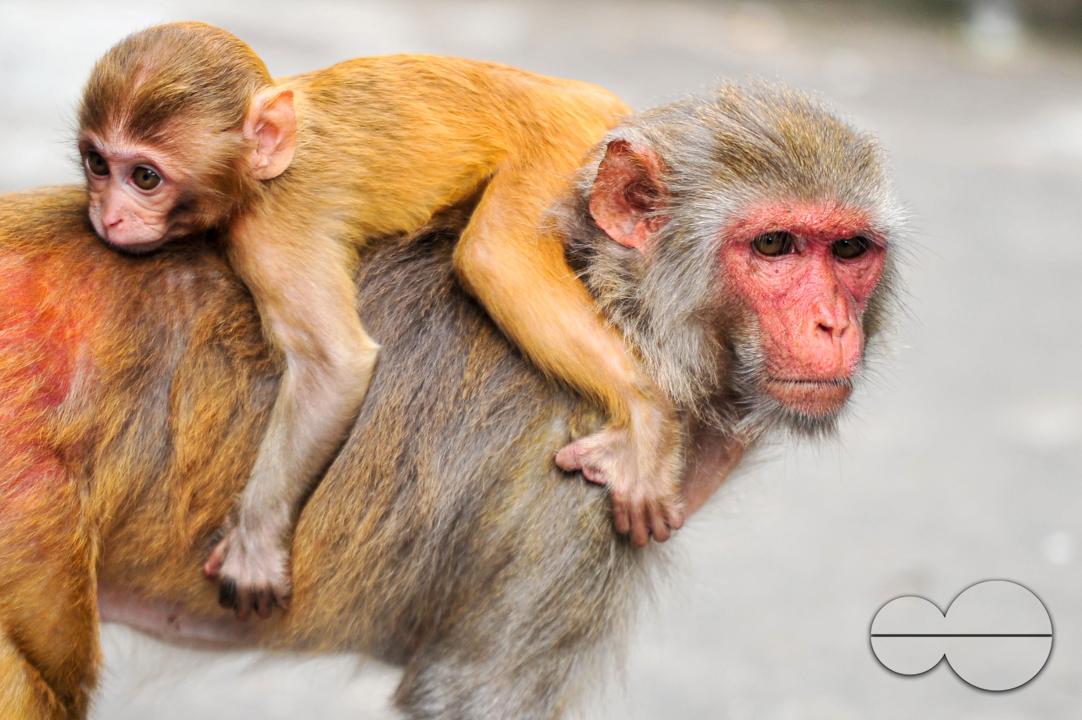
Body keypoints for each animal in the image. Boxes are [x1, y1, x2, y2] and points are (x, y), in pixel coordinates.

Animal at [0, 83, 900, 718]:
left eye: (849, 250)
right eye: (775, 246)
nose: (831, 324)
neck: (623, 316)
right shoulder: (575, 493)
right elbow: (474, 694)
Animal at [75, 22, 686, 619]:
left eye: (146, 178)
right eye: (98, 165)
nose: (109, 215)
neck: (260, 165)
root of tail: (584, 95)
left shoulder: (271, 230)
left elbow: (335, 364)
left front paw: (256, 544)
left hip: (564, 149)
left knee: (492, 254)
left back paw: (647, 411)